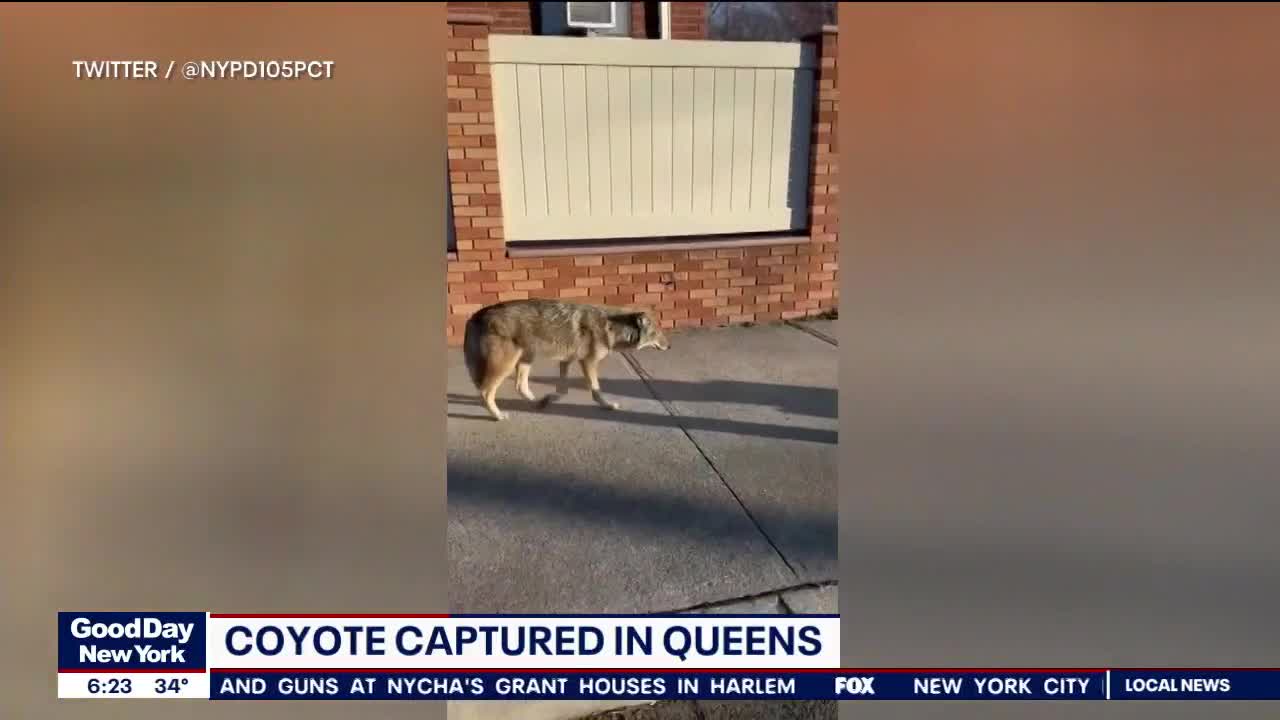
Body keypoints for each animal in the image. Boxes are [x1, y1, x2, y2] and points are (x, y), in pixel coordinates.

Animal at [462, 298, 671, 421]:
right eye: (657, 333)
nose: (669, 346)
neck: (611, 327)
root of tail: (475, 315)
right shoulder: (588, 362)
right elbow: (595, 390)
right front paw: (608, 405)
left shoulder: (567, 361)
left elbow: (563, 389)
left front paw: (553, 397)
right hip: (506, 365)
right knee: (485, 392)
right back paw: (499, 415)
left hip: (527, 358)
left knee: (520, 386)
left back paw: (538, 403)